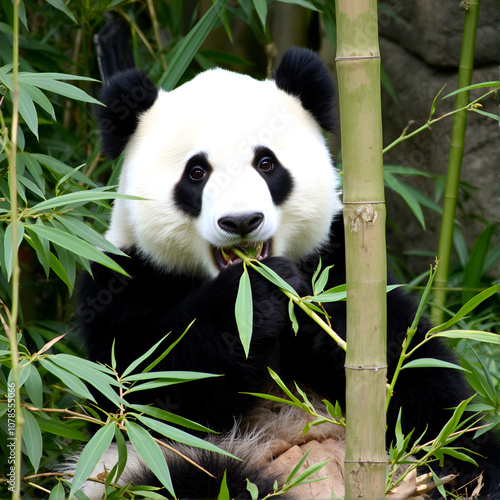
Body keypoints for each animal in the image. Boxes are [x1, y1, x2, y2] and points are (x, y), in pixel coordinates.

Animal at [72, 47, 498, 500]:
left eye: (266, 163)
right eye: (196, 173)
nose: (242, 220)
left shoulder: (340, 257)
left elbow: (414, 370)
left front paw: (319, 315)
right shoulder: (121, 279)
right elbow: (144, 384)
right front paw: (256, 297)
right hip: (131, 471)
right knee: (193, 477)